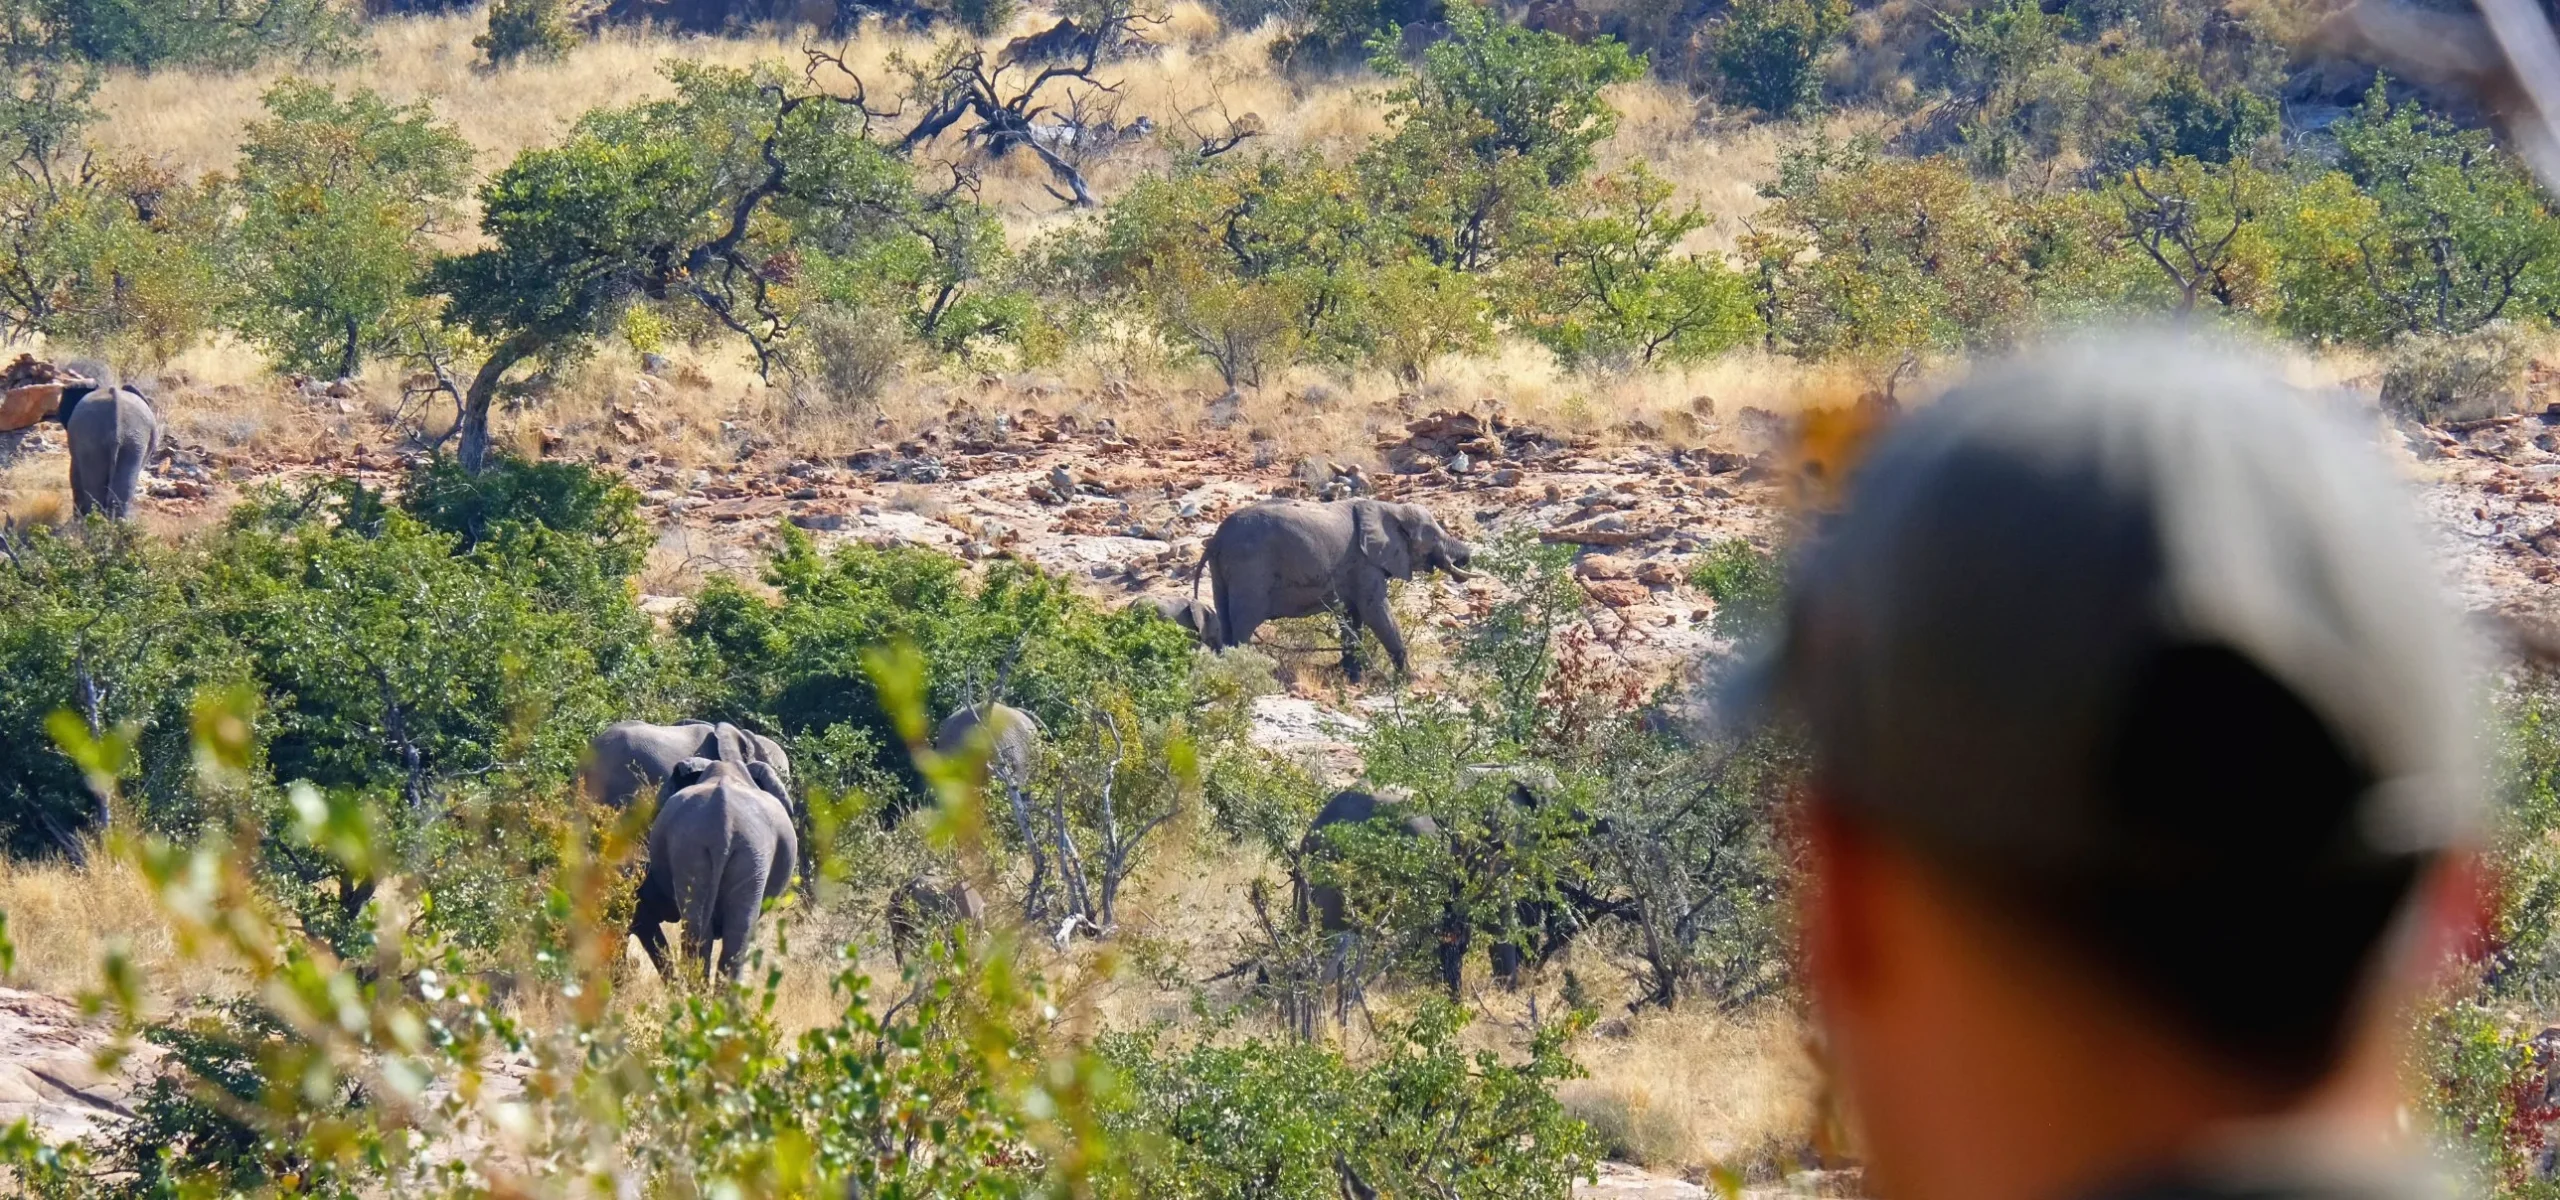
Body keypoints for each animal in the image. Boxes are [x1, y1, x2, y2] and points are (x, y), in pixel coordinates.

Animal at [1194, 499, 1472, 681]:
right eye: (1433, 536)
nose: (1466, 559)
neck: (1390, 508)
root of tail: (1217, 538)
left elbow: (1353, 616)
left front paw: (1353, 677)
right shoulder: (1365, 563)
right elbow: (1374, 611)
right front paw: (1410, 679)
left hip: (1222, 570)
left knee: (1225, 617)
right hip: (1249, 568)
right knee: (1244, 621)